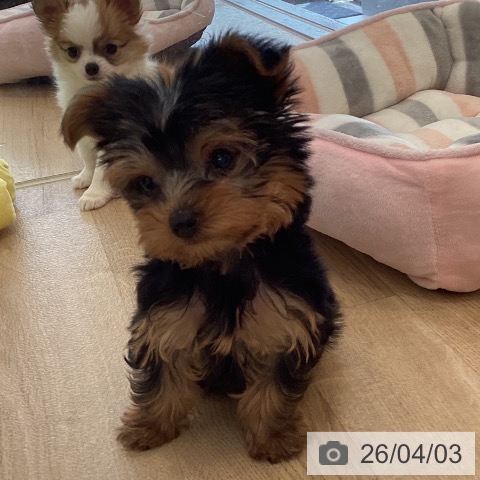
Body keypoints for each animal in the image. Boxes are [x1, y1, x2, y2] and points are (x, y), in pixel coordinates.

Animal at [33, 0, 157, 211]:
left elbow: (100, 169)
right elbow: (88, 159)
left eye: (111, 48)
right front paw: (85, 177)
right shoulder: (83, 136)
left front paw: (94, 194)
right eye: (72, 51)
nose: (91, 67)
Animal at [61, 33, 341, 462]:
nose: (180, 221)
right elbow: (165, 368)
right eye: (146, 183)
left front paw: (272, 438)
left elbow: (273, 383)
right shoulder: (164, 314)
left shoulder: (287, 317)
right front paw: (150, 426)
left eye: (223, 157)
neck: (221, 265)